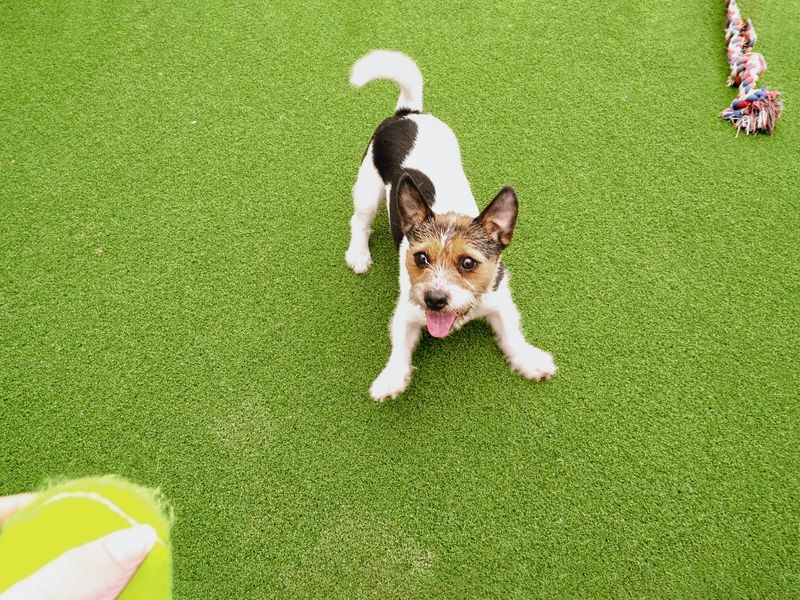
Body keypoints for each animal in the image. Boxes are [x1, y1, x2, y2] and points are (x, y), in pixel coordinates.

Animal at [344, 49, 556, 400]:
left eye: (468, 263)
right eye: (420, 258)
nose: (434, 300)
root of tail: (408, 113)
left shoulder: (501, 301)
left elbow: (513, 333)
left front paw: (529, 360)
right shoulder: (406, 312)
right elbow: (399, 347)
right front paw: (391, 377)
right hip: (367, 187)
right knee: (359, 221)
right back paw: (359, 254)